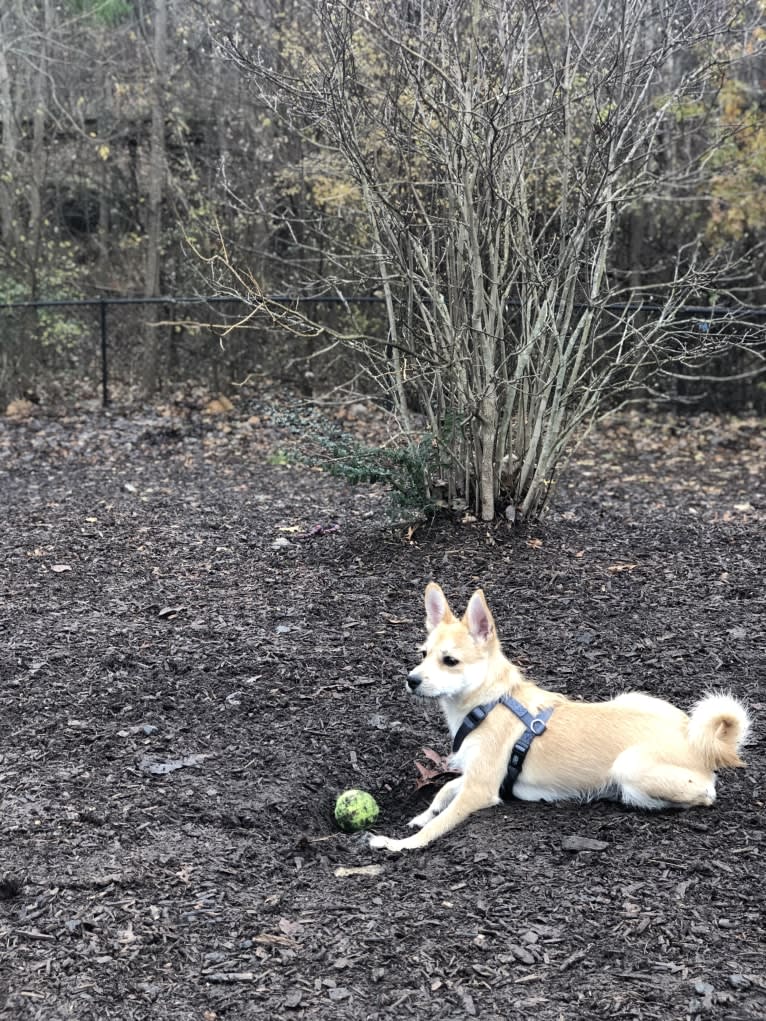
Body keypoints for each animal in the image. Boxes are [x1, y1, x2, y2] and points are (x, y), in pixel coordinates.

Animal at [369, 584, 751, 853]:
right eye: (423, 654)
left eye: (449, 661)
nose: (411, 679)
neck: (488, 703)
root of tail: (698, 742)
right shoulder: (478, 776)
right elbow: (444, 790)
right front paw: (421, 815)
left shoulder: (480, 789)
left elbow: (438, 824)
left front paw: (399, 843)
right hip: (633, 698)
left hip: (629, 767)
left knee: (703, 795)